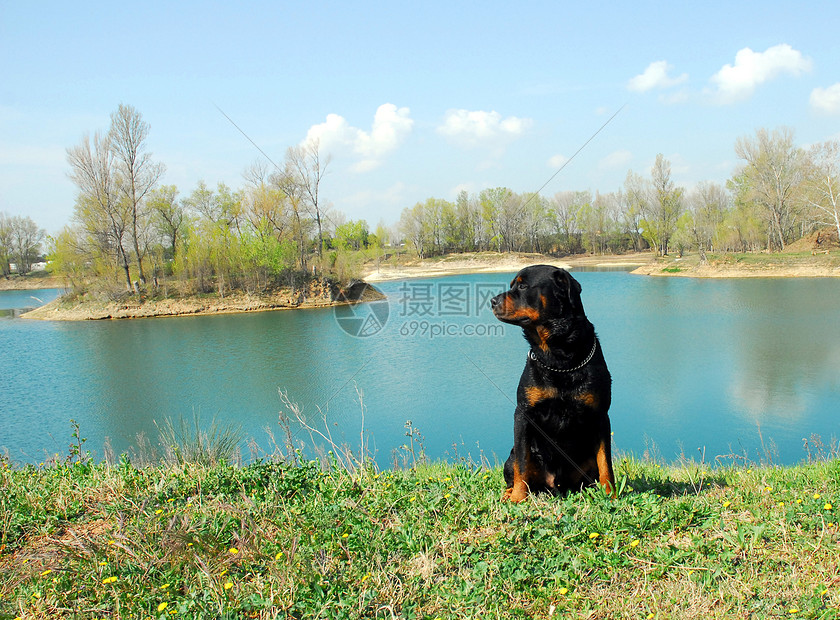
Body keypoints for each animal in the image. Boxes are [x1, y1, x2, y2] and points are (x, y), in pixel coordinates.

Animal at [492, 266, 616, 504]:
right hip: (513, 457)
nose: (493, 300)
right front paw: (518, 498)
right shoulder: (523, 414)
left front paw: (611, 495)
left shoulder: (601, 415)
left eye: (523, 285)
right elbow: (522, 463)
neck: (558, 357)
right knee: (517, 466)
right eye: (512, 284)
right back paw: (509, 493)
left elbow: (606, 462)